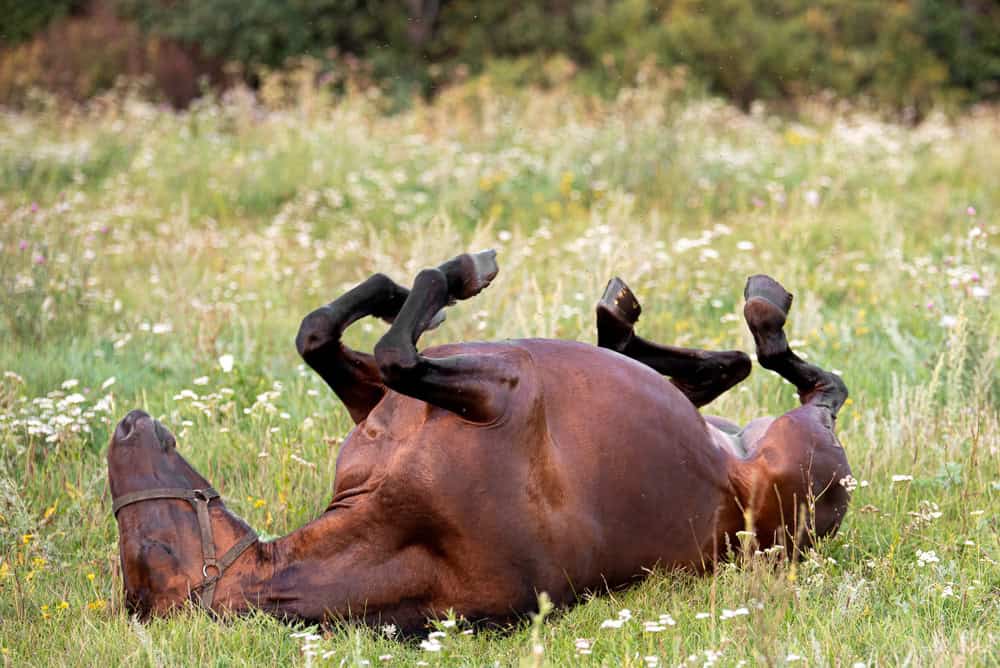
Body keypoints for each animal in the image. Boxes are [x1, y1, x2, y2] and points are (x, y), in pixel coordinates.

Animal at [108, 250, 851, 630]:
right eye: (153, 548)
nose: (126, 425)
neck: (410, 534)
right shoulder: (498, 389)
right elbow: (397, 349)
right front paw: (460, 272)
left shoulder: (383, 400)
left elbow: (321, 332)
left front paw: (406, 291)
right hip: (798, 455)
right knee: (808, 379)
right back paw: (753, 311)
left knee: (724, 369)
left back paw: (621, 318)